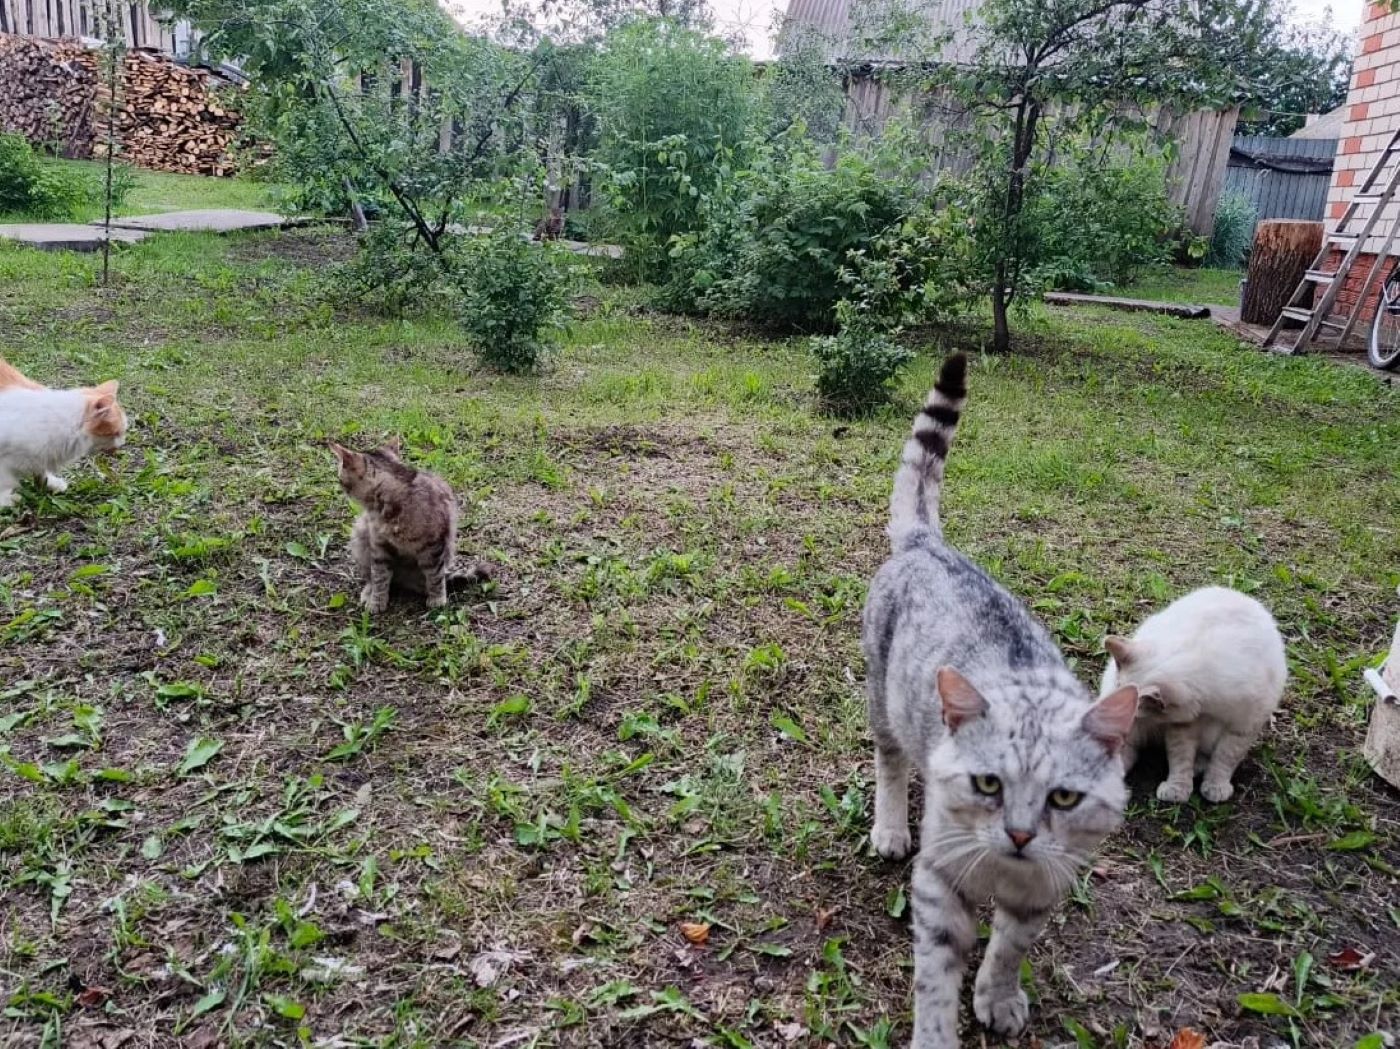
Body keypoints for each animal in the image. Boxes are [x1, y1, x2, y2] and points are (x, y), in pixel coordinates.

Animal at [0, 355, 128, 509]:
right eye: (117, 433)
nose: (123, 442)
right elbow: (5, 481)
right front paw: (6, 500)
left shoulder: (41, 455)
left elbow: (41, 471)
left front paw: (49, 484)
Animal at [330, 439, 489, 612]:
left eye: (340, 477)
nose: (337, 482)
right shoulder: (379, 545)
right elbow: (379, 577)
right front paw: (377, 601)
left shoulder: (433, 544)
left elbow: (435, 575)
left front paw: (437, 599)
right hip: (361, 535)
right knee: (372, 577)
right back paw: (369, 592)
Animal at [862, 352, 1139, 1048]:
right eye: (988, 784)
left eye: (1063, 798)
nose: (1017, 833)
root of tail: (929, 545)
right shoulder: (938, 883)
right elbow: (936, 977)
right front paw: (938, 1033)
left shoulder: (1044, 887)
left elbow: (1011, 946)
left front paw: (998, 997)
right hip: (882, 698)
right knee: (889, 760)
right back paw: (889, 826)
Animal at [1100, 586, 1286, 804]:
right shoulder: (1183, 725)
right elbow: (1180, 759)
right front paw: (1177, 790)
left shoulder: (1242, 727)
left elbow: (1224, 759)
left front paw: (1215, 786)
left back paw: (1199, 767)